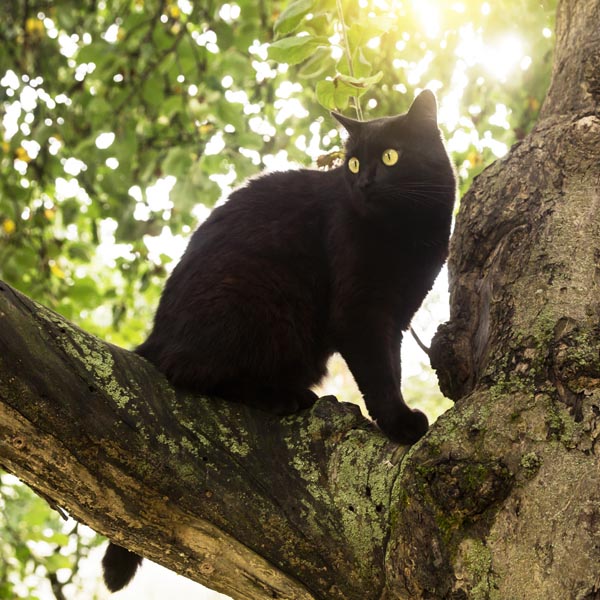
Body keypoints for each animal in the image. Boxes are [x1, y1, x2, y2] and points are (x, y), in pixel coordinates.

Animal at [102, 89, 454, 592]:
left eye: (390, 157)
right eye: (351, 164)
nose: (363, 184)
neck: (408, 231)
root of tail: (157, 334)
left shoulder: (396, 315)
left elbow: (392, 365)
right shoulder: (360, 313)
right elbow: (380, 375)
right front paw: (399, 423)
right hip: (258, 301)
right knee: (190, 372)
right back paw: (284, 398)